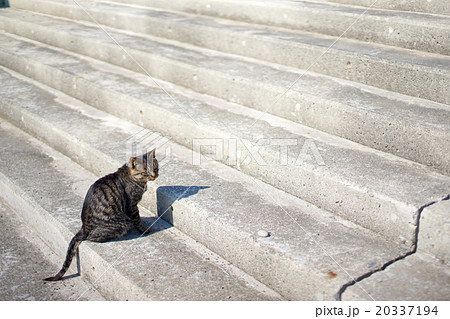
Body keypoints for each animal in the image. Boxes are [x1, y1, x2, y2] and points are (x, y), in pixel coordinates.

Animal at [44, 150, 159, 282]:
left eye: (155, 166)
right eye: (145, 171)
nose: (154, 175)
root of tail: (84, 228)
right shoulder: (132, 205)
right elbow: (137, 220)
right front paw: (145, 229)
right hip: (122, 222)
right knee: (91, 237)